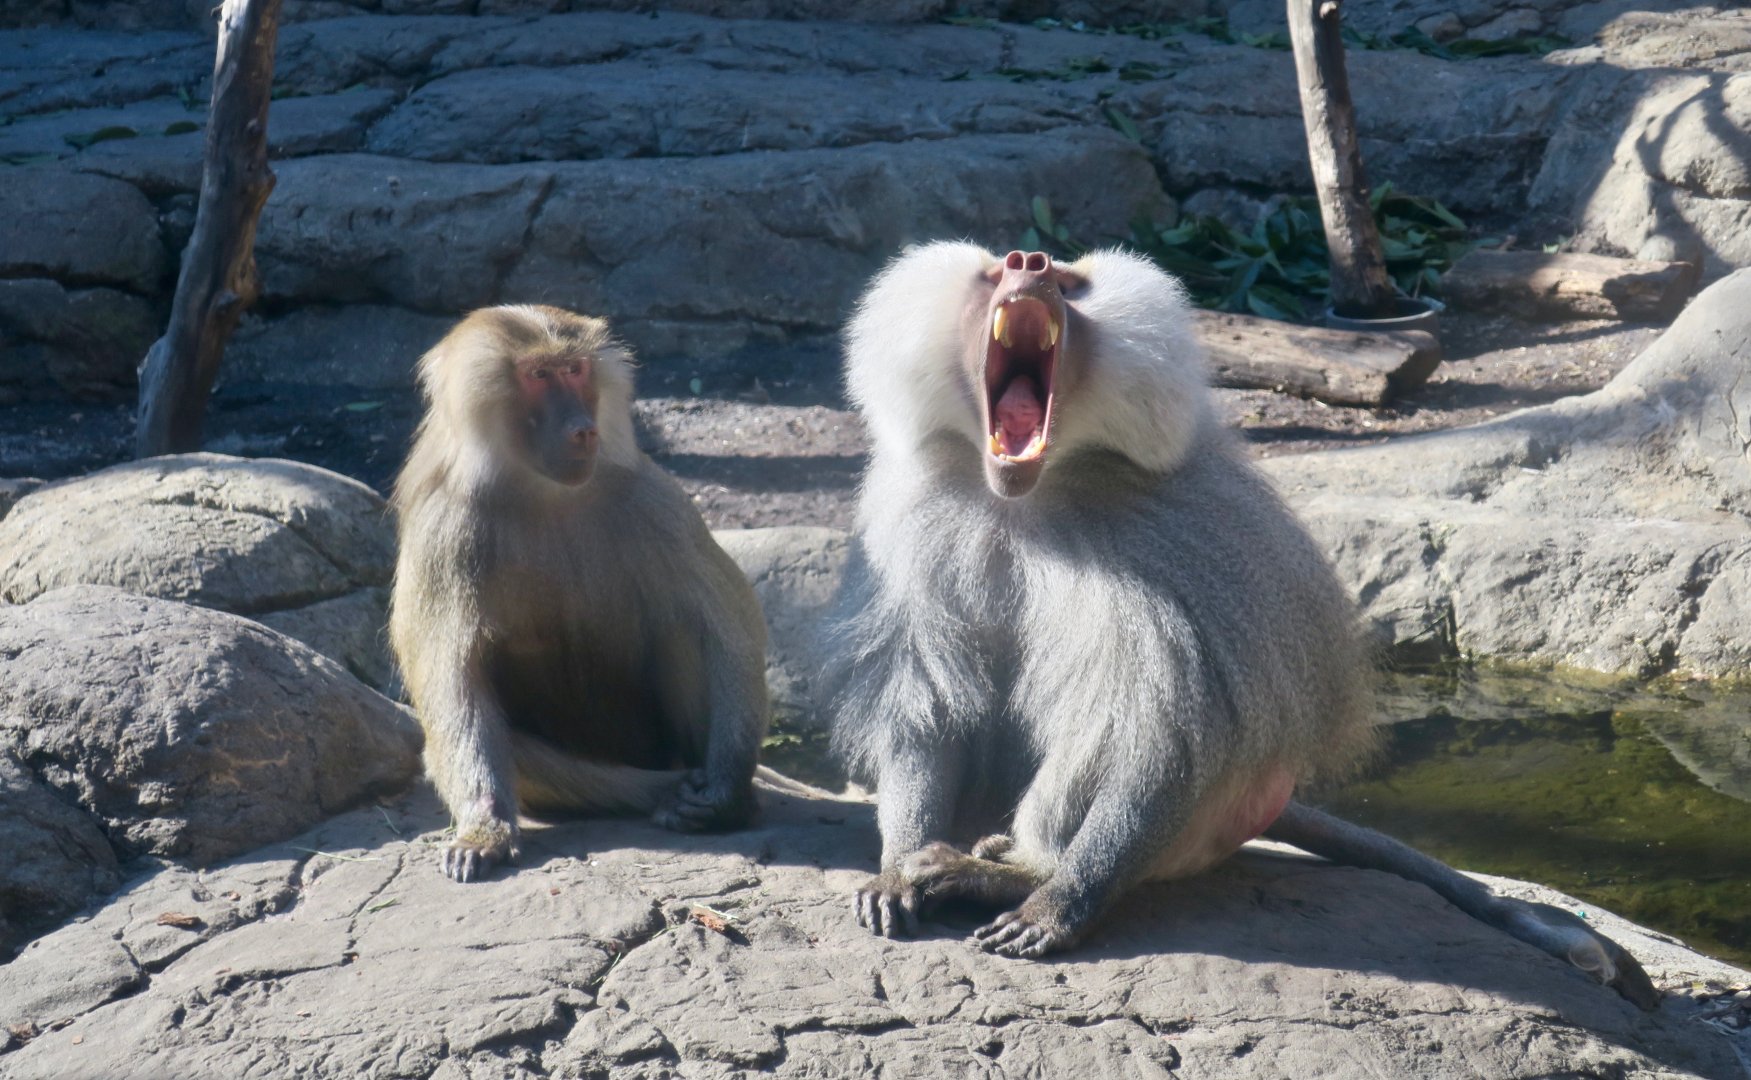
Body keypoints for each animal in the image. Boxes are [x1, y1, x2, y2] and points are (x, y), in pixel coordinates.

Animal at [389, 304, 769, 883]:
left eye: (575, 370)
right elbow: (453, 683)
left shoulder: (652, 500)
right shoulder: (445, 529)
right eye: (539, 375)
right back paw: (661, 792)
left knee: (683, 628)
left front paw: (726, 791)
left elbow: (728, 627)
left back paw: (708, 796)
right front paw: (484, 831)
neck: (541, 493)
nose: (583, 430)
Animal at [823, 244, 1658, 1010]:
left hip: (1211, 824)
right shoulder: (915, 525)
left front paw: (1057, 904)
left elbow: (1163, 738)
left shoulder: (1174, 544)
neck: (1023, 495)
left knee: (1110, 729)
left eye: (1067, 280)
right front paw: (895, 871)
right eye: (998, 270)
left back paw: (1005, 872)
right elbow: (926, 704)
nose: (1028, 262)